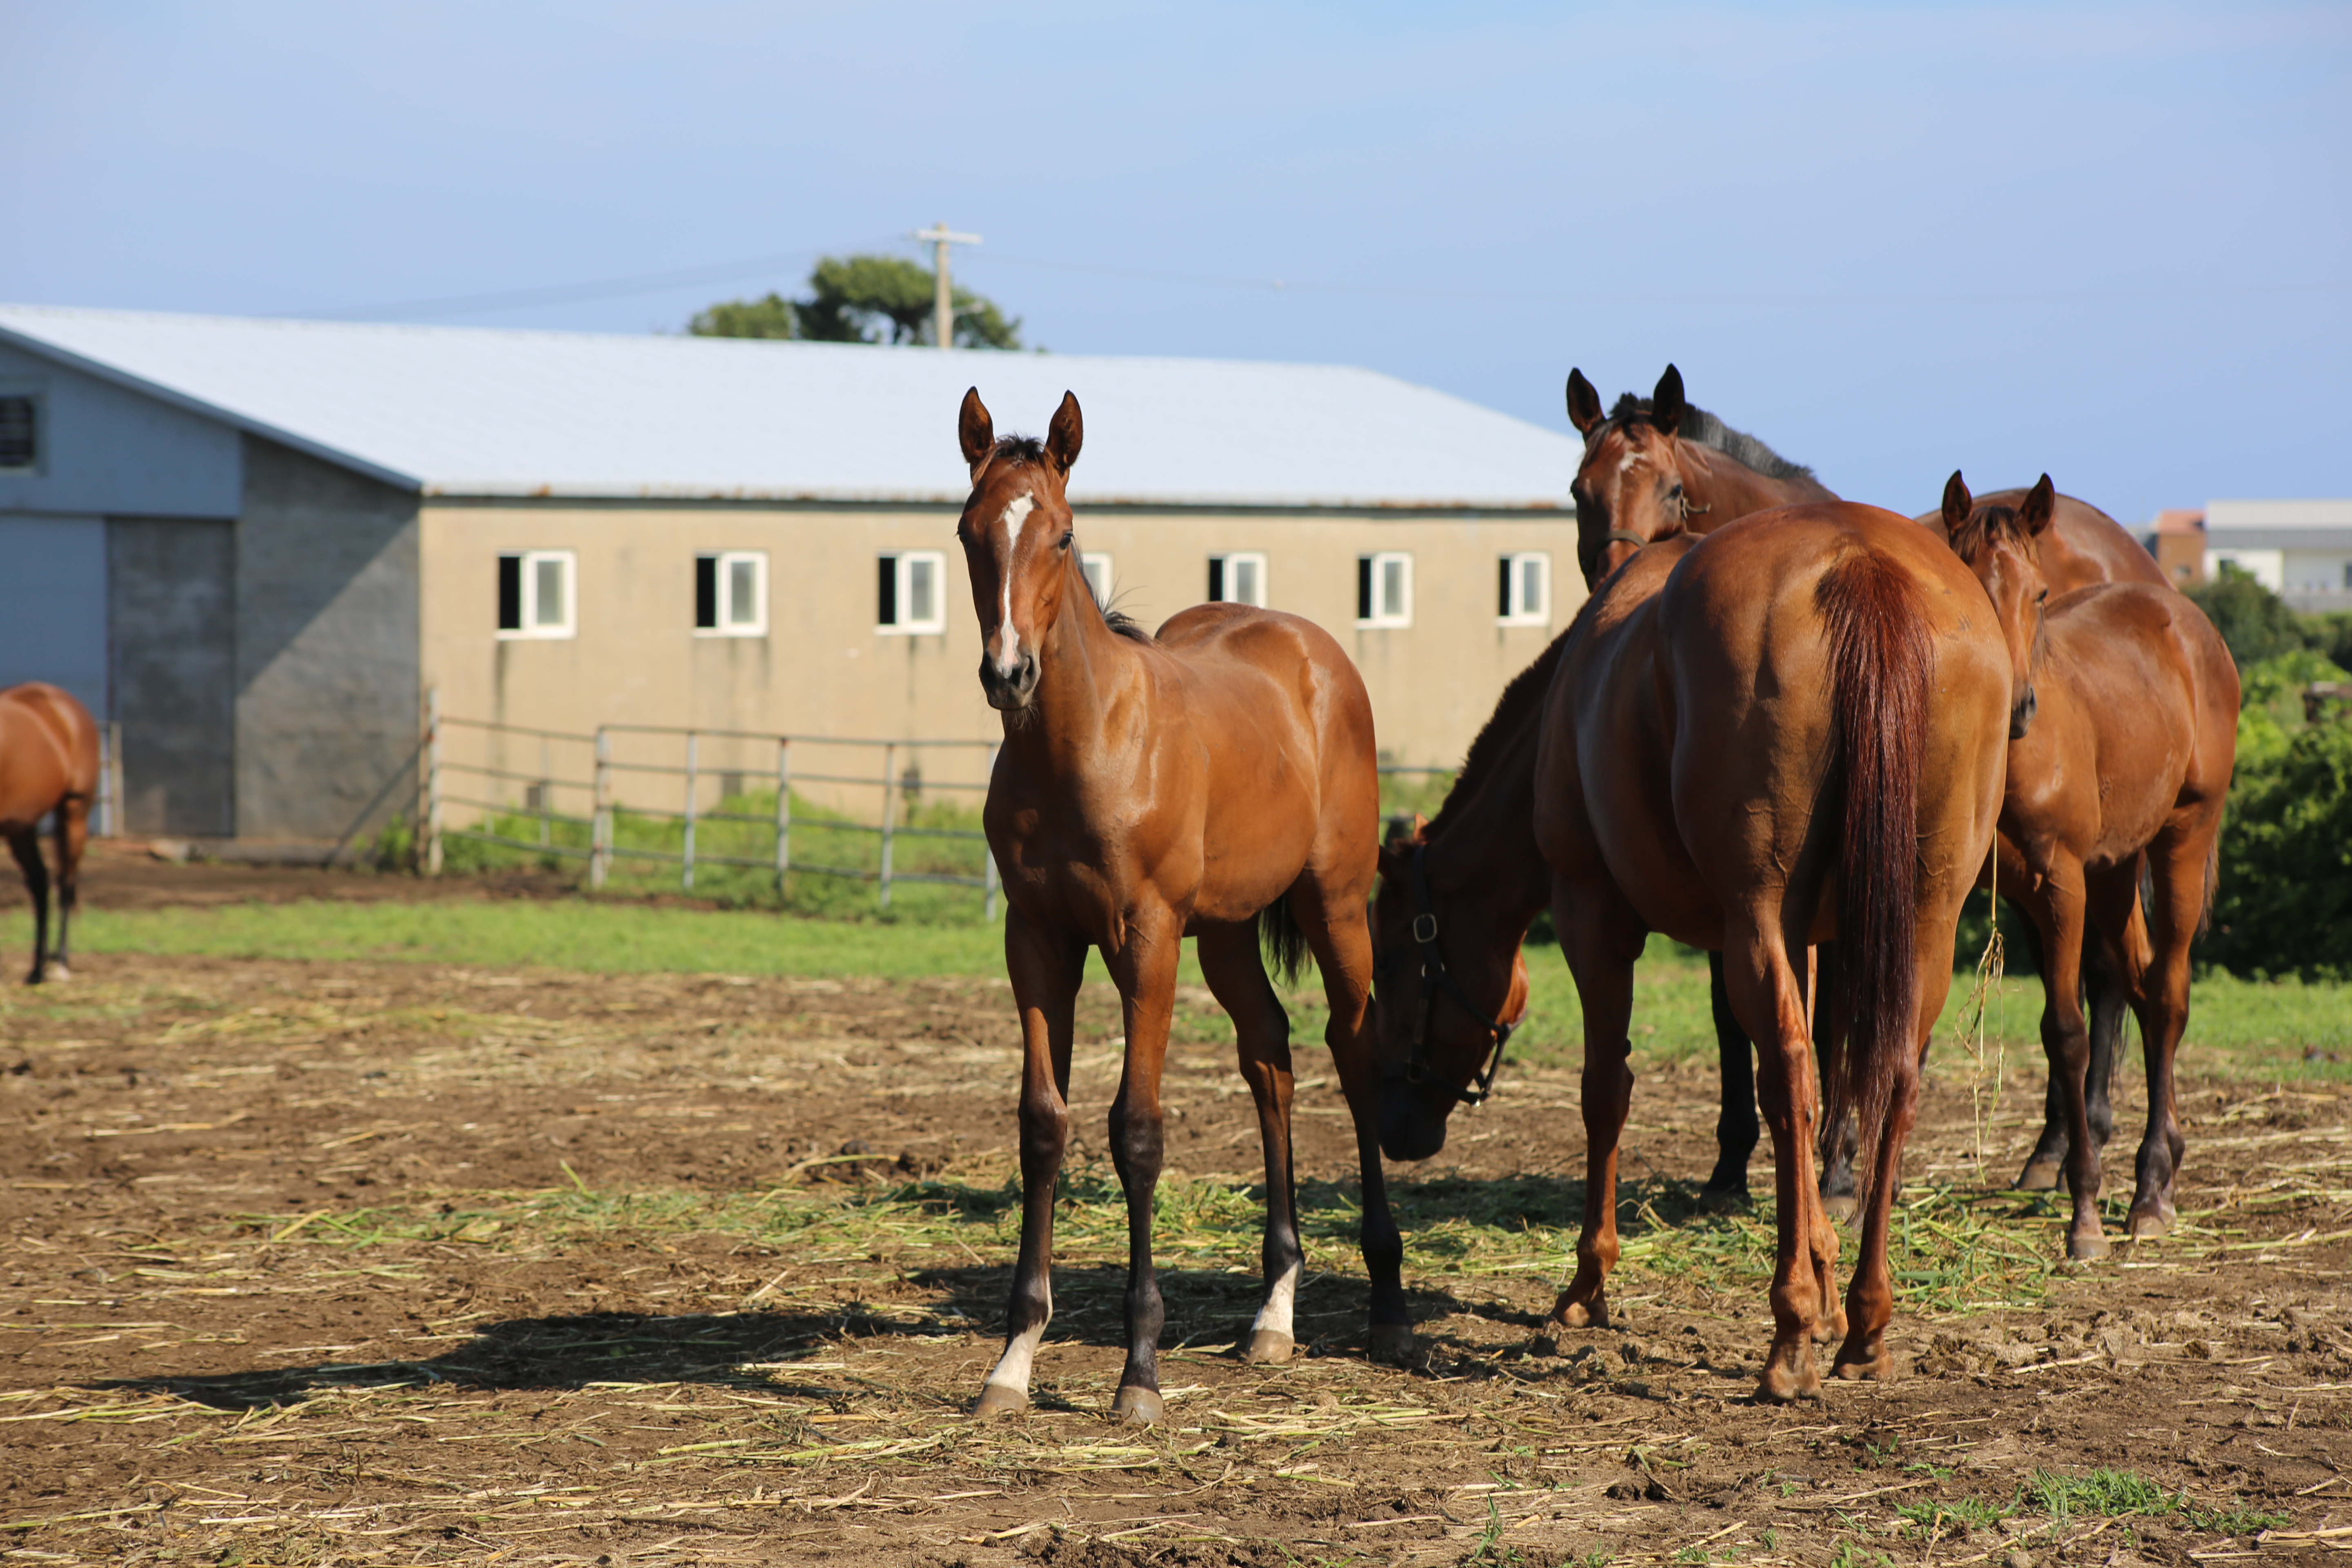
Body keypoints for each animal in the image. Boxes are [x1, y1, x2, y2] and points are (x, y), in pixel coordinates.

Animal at [0, 682, 101, 982]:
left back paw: (60, 963)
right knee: (40, 883)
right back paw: (38, 968)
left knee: (65, 882)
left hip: (74, 813)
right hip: (21, 827)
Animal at [950, 390, 1392, 1420]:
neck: (1081, 746)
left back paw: (1387, 1301)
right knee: (1269, 1057)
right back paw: (1272, 1313)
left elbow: (1136, 1132)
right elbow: (1042, 1124)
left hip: (1333, 905)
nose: (1007, 674)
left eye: (1063, 536)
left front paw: (1139, 1371)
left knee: (1353, 1051)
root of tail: (1311, 651)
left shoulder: (1143, 938)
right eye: (966, 533)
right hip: (1226, 933)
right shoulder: (1036, 941)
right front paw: (1011, 1361)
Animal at [1373, 503, 2004, 1401]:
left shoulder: (1592, 915)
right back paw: (1863, 1324)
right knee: (1888, 1082)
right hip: (1926, 920)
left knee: (1785, 1074)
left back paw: (1789, 1335)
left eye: (1394, 961)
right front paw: (1822, 1262)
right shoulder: (1810, 939)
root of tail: (1860, 563)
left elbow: (1606, 1091)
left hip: (1752, 917)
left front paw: (1587, 1285)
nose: (1393, 1122)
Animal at [1947, 472, 2239, 1260]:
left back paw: (2151, 1191)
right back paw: (2164, 1159)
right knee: (2138, 981)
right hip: (2115, 868)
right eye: (1961, 579)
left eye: (2040, 593)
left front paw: (2083, 1214)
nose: (2014, 707)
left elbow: (2069, 1035)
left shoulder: (2059, 885)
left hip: (2181, 837)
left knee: (2166, 993)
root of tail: (2185, 618)